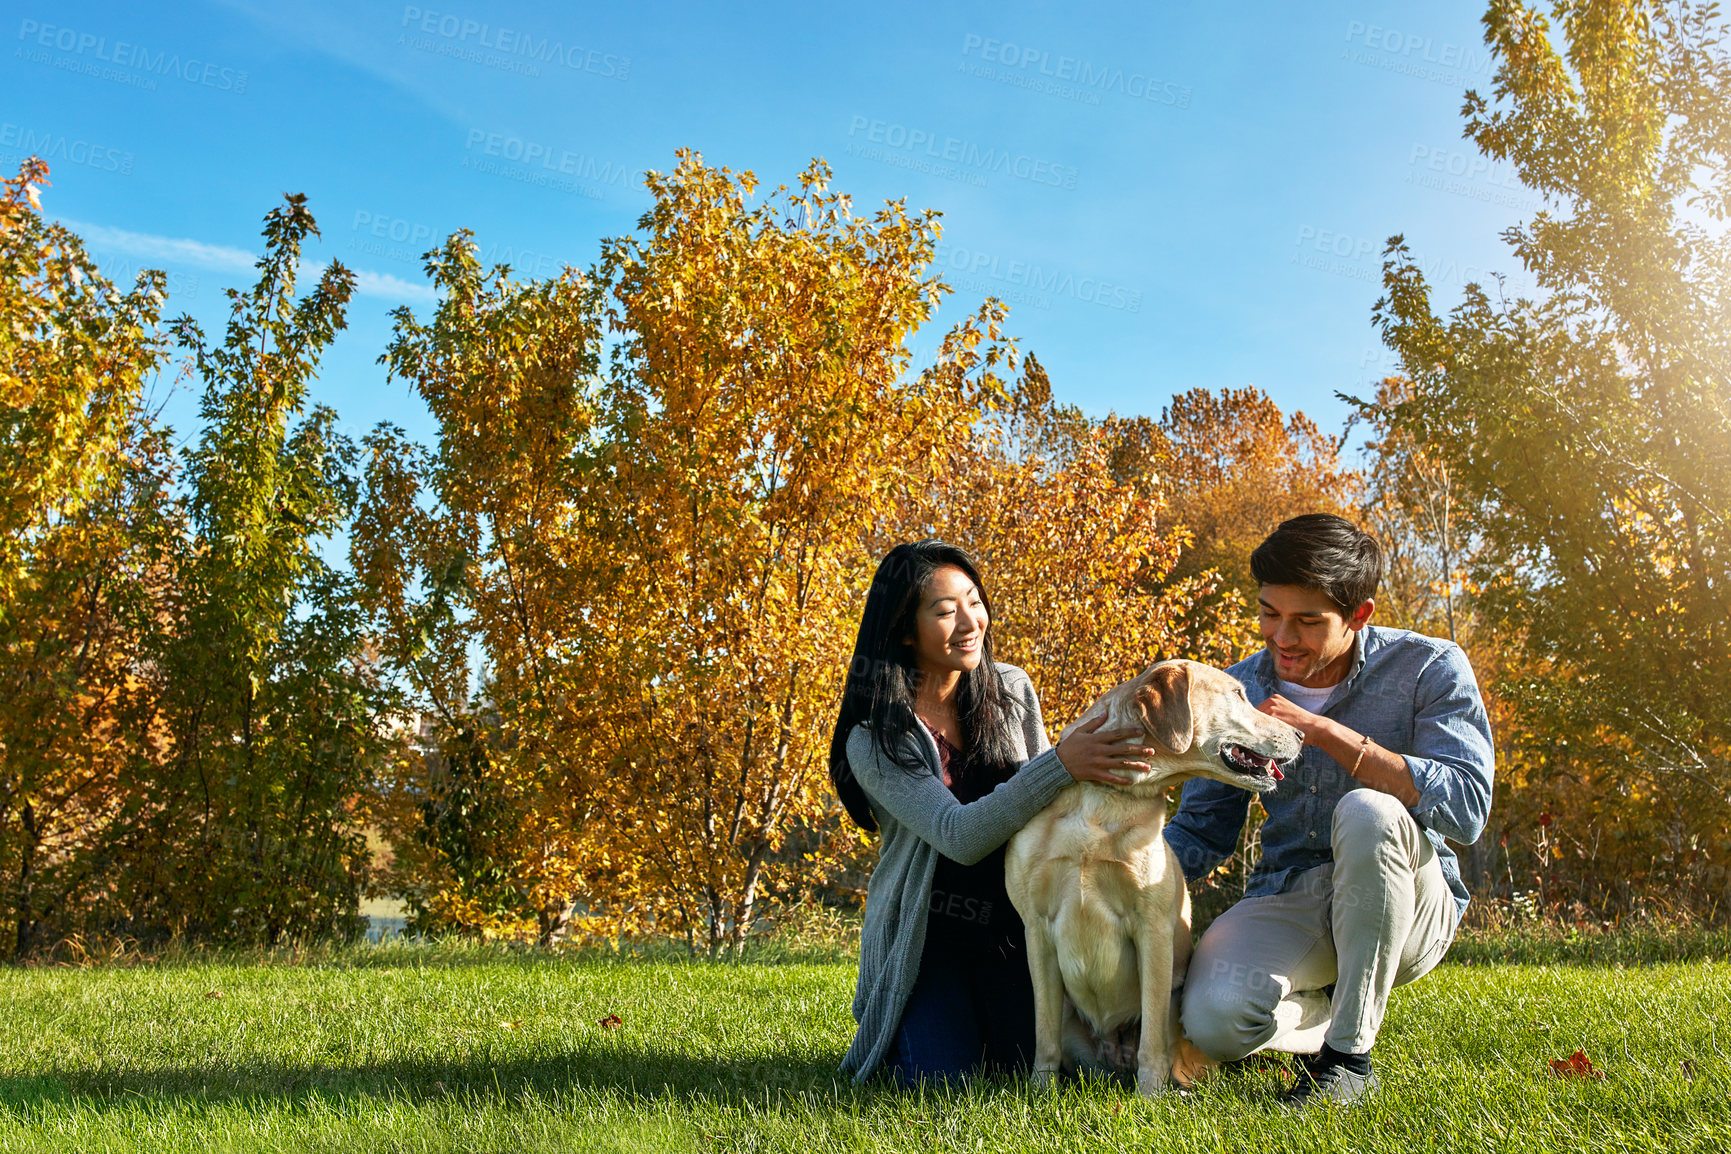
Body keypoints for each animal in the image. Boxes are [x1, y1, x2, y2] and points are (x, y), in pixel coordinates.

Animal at [1003, 664, 1301, 1100]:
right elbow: (1044, 1036)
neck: (1105, 800)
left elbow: (1153, 1038)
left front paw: (1150, 1097)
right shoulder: (1037, 930)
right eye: (1238, 695)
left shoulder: (1153, 929)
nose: (1301, 734)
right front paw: (1041, 1092)